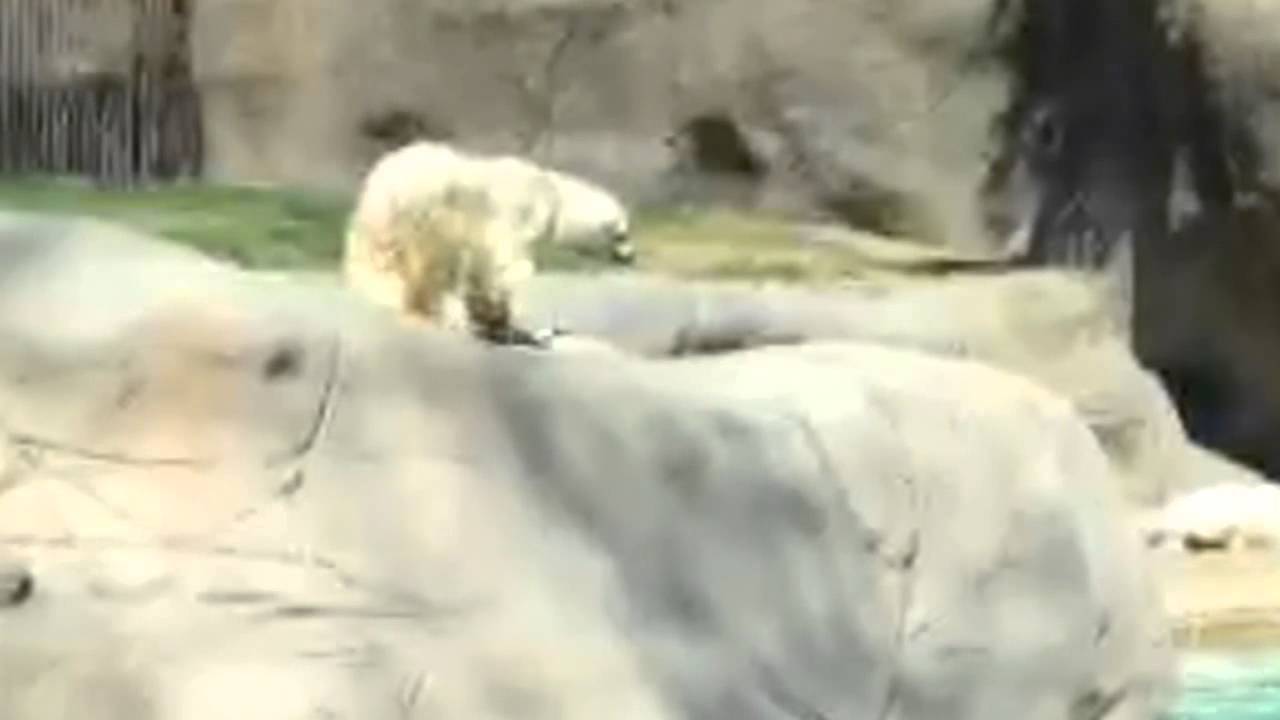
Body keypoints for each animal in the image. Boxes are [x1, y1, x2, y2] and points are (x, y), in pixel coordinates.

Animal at [341, 140, 635, 345]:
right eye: (623, 234)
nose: (630, 257)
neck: (553, 196)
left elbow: (480, 266)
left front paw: (492, 319)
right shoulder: (515, 213)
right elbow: (507, 264)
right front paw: (502, 320)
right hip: (424, 208)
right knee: (431, 264)